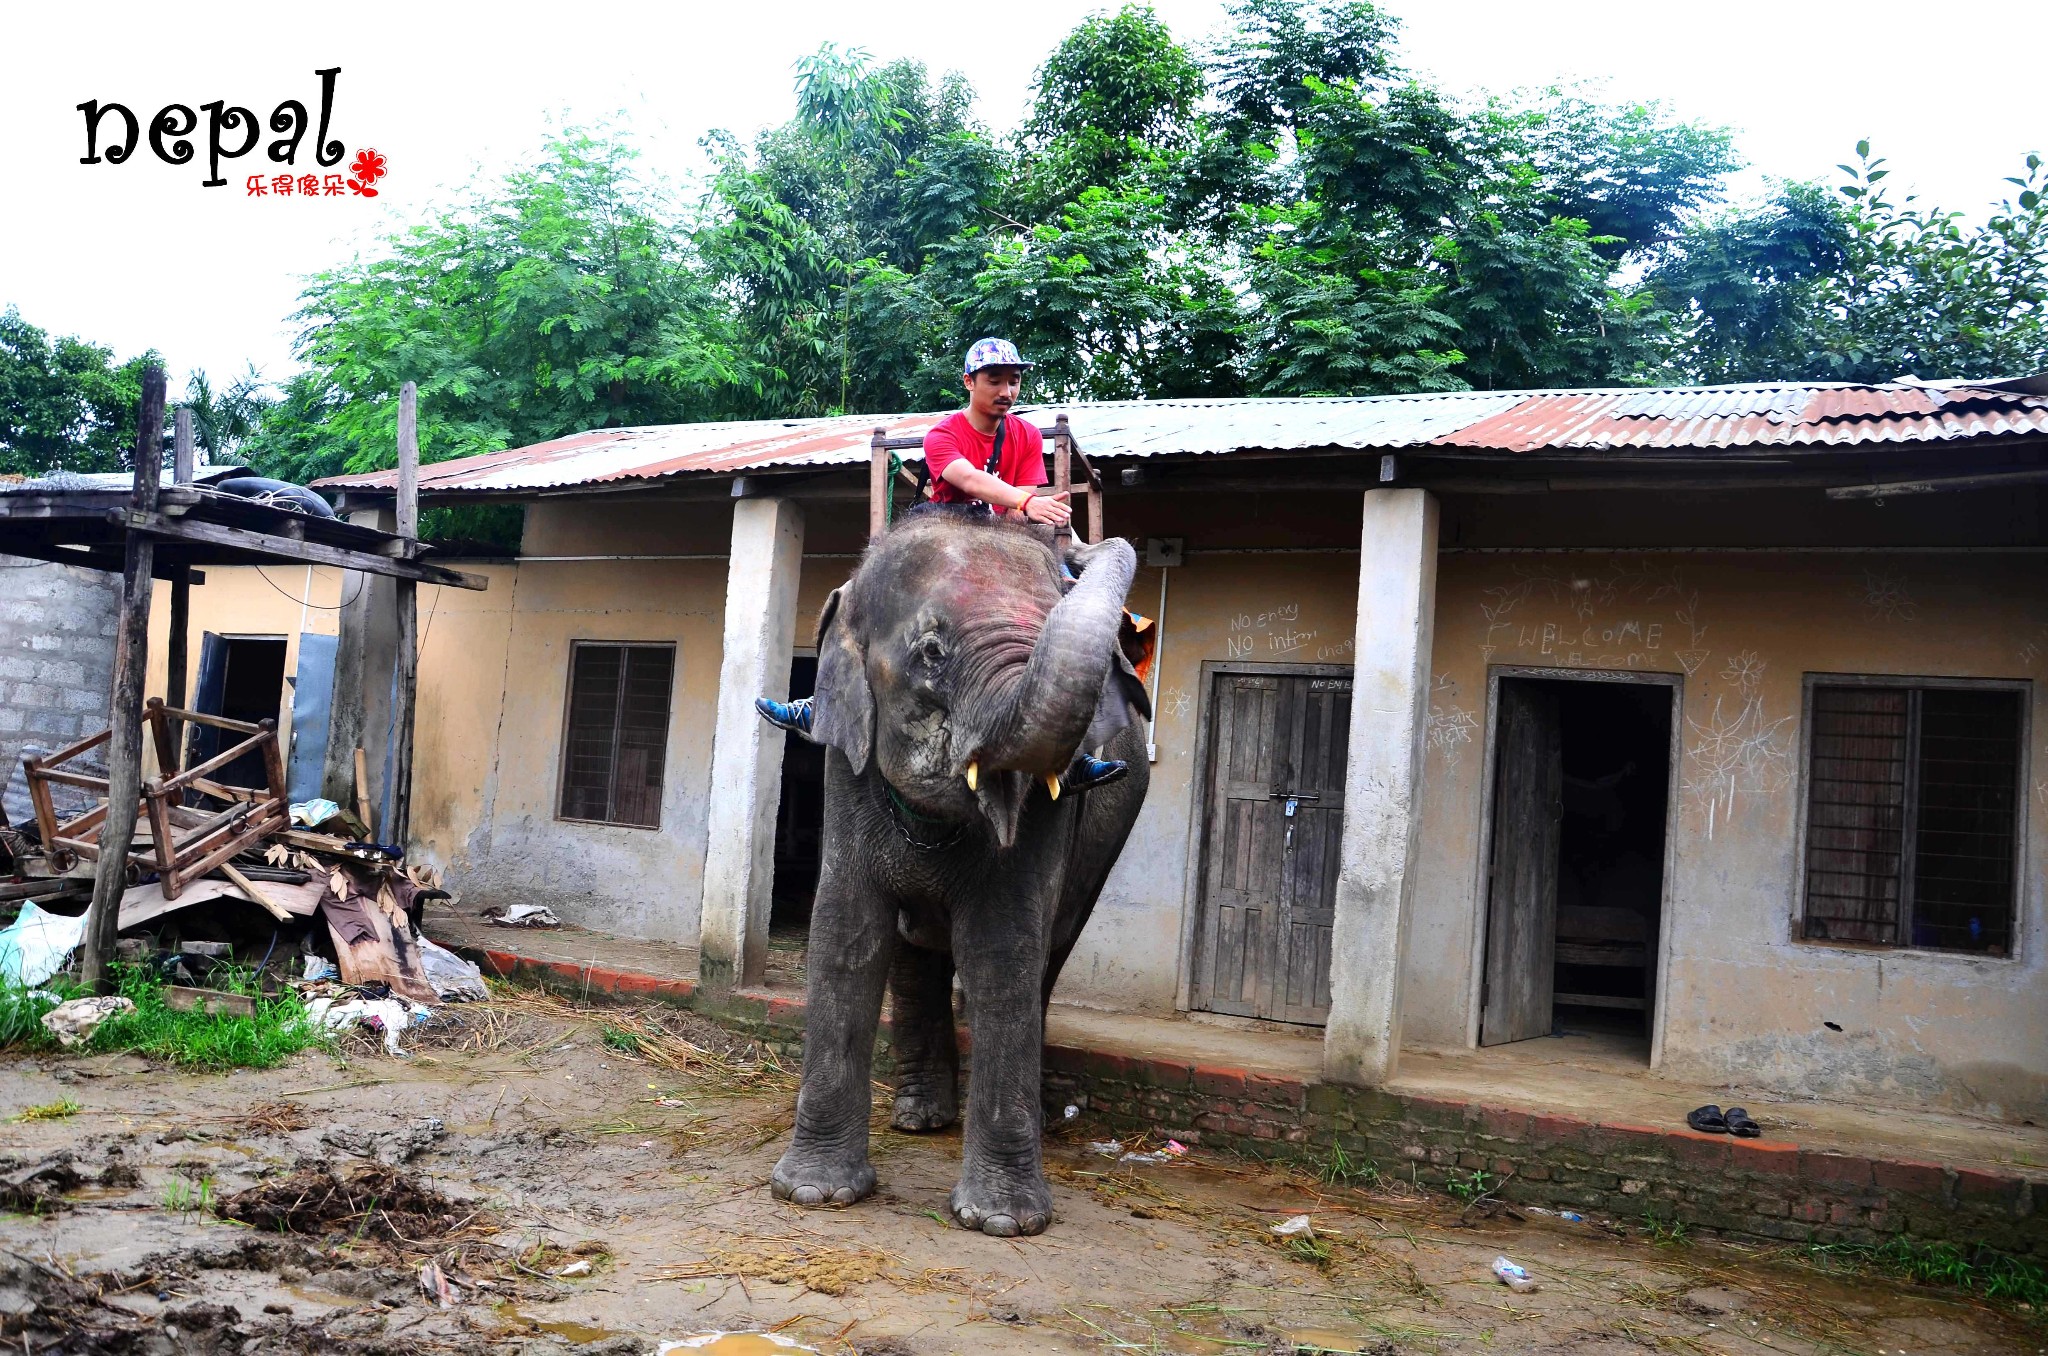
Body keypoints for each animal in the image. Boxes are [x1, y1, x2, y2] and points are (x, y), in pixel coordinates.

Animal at [770, 503, 1155, 1237]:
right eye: (931, 653)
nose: (1078, 537)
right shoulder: (846, 763)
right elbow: (847, 935)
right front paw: (812, 1194)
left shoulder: (1047, 808)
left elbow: (1002, 948)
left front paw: (1001, 1223)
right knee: (913, 952)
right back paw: (920, 1119)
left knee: (1046, 957)